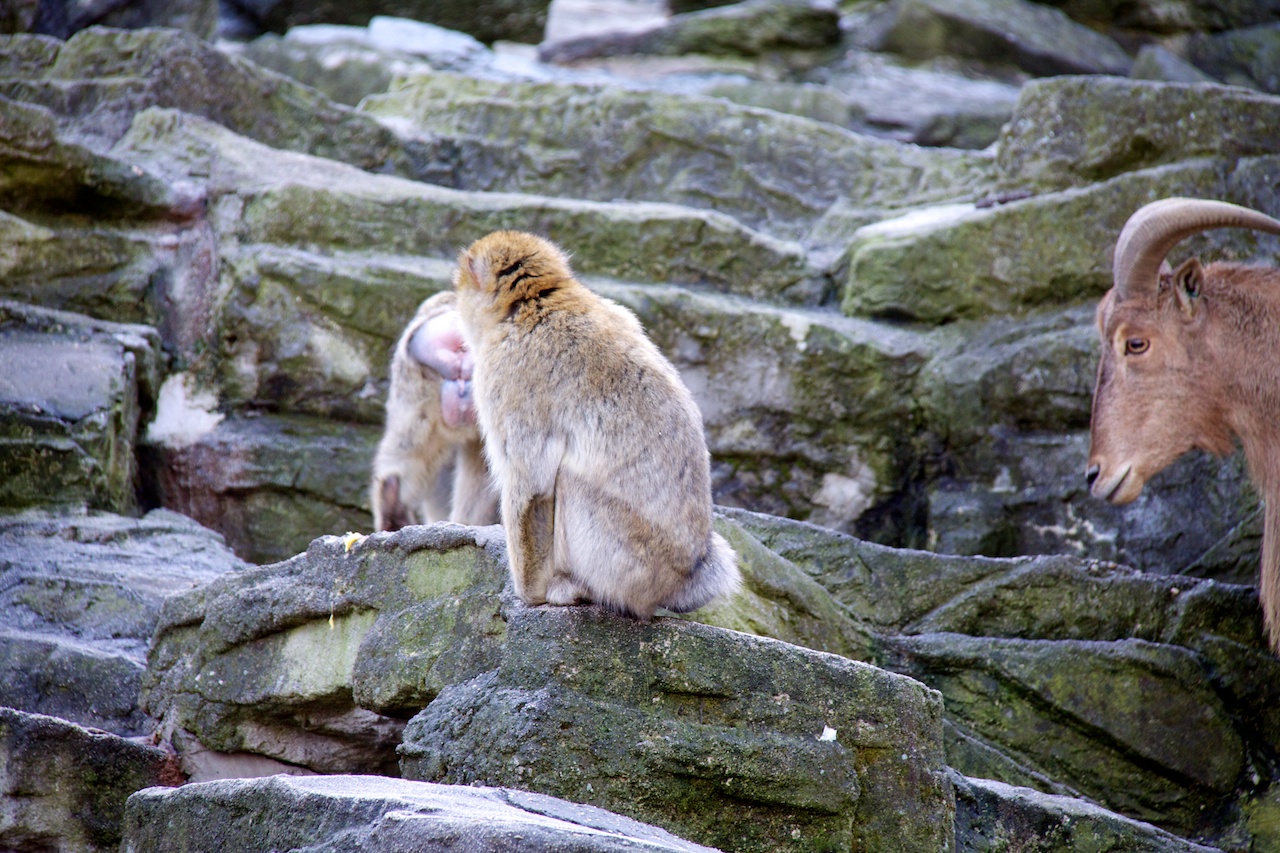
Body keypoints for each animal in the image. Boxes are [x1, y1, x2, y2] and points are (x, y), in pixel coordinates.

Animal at [451, 230, 741, 619]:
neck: (538, 300)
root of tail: (685, 579)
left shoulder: (507, 373)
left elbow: (531, 484)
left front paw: (529, 593)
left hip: (625, 562)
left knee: (570, 480)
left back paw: (574, 588)